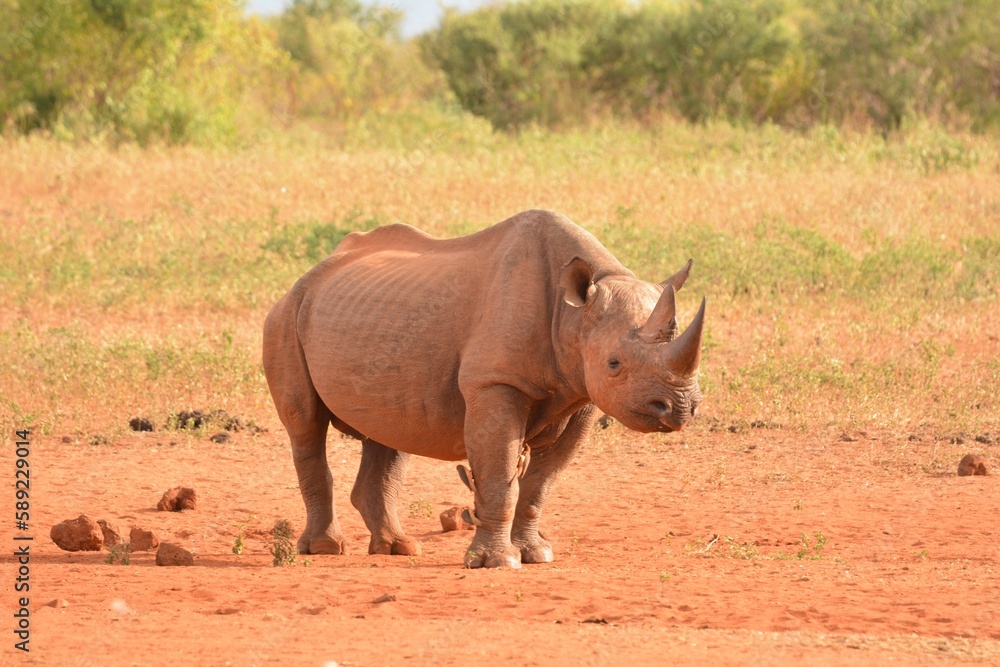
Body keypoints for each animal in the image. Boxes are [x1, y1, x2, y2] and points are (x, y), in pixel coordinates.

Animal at [263, 209, 705, 568]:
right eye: (614, 363)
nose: (680, 407)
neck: (574, 315)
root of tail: (309, 274)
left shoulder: (581, 394)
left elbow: (539, 484)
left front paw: (535, 554)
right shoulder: (494, 381)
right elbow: (497, 474)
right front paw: (495, 562)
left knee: (389, 433)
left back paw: (398, 548)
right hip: (286, 315)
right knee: (306, 426)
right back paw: (324, 549)